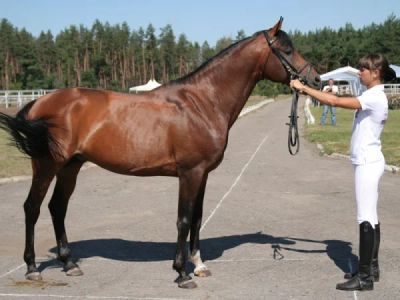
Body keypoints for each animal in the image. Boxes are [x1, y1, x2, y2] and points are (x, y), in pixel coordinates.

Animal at [0, 18, 318, 288]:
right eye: (287, 50)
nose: (314, 80)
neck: (203, 102)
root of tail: (40, 102)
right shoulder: (190, 173)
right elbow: (184, 219)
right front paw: (181, 273)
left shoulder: (202, 174)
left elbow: (198, 218)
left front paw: (199, 265)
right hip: (46, 165)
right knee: (32, 208)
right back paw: (31, 268)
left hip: (71, 166)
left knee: (57, 208)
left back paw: (69, 264)